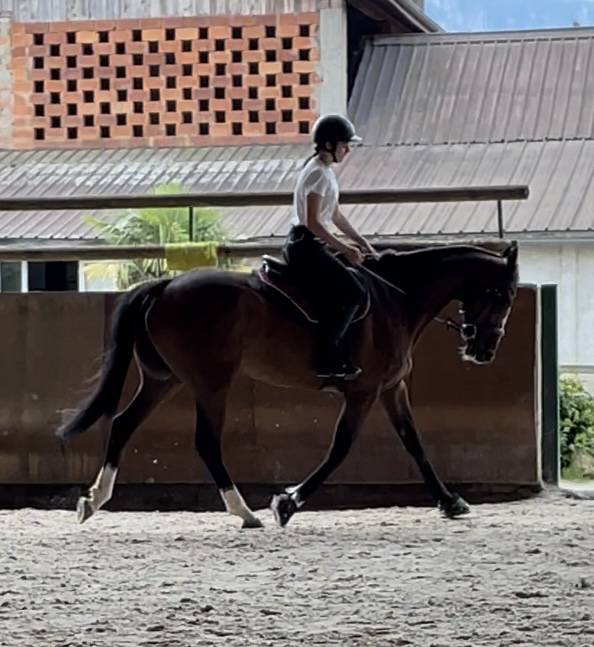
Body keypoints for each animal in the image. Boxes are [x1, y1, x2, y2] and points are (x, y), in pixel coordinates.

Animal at [58, 241, 519, 528]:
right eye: (505, 295)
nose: (483, 351)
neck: (397, 299)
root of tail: (165, 285)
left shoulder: (392, 389)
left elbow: (415, 444)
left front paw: (450, 501)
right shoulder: (364, 392)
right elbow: (340, 449)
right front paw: (287, 503)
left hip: (163, 379)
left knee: (122, 424)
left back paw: (93, 500)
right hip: (211, 383)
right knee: (206, 442)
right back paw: (245, 513)